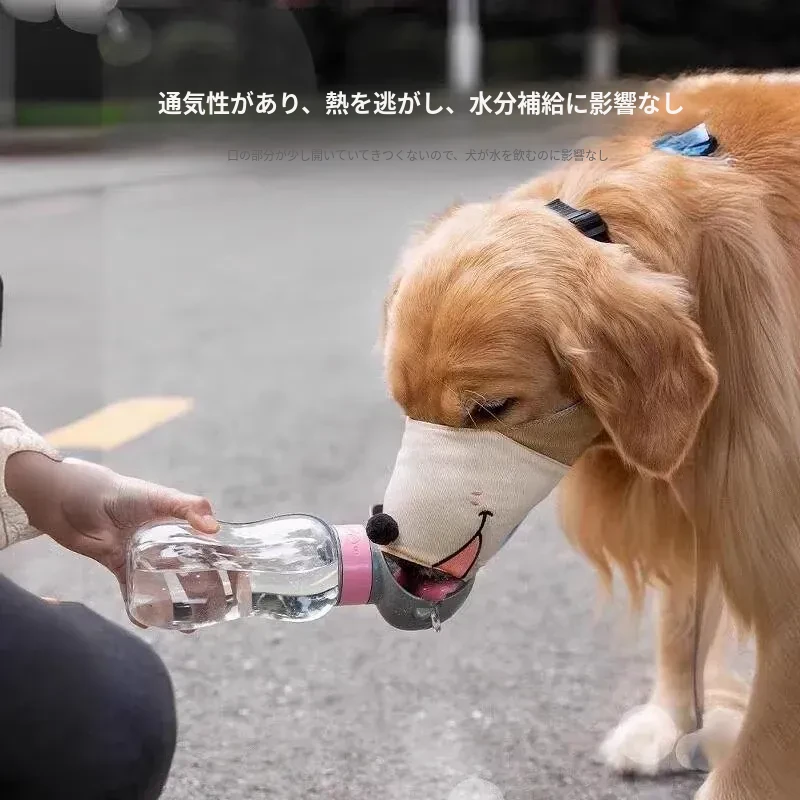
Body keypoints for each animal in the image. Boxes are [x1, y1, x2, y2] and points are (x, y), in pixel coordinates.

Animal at [380, 71, 800, 799]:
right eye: (403, 406)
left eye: (491, 408)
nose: (384, 534)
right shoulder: (695, 491)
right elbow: (682, 618)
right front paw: (671, 720)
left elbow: (760, 746)